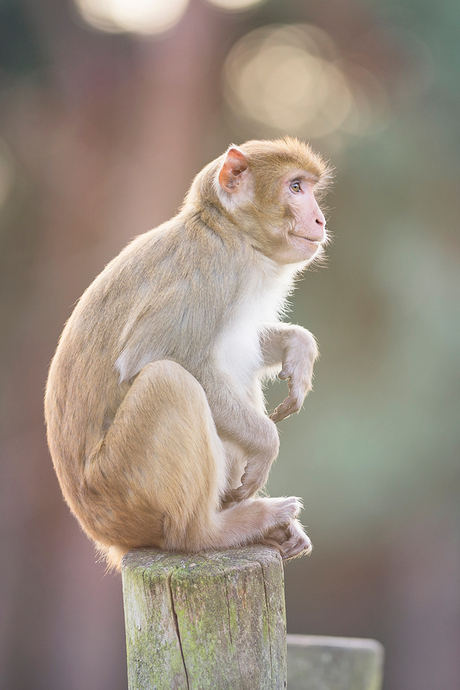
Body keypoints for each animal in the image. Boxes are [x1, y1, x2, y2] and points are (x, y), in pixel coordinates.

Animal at [44, 136, 330, 568]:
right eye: (295, 187)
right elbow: (153, 356)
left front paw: (297, 347)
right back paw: (212, 531)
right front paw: (266, 443)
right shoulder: (208, 269)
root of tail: (107, 537)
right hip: (122, 490)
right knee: (169, 380)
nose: (320, 220)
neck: (226, 231)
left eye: (309, 188)